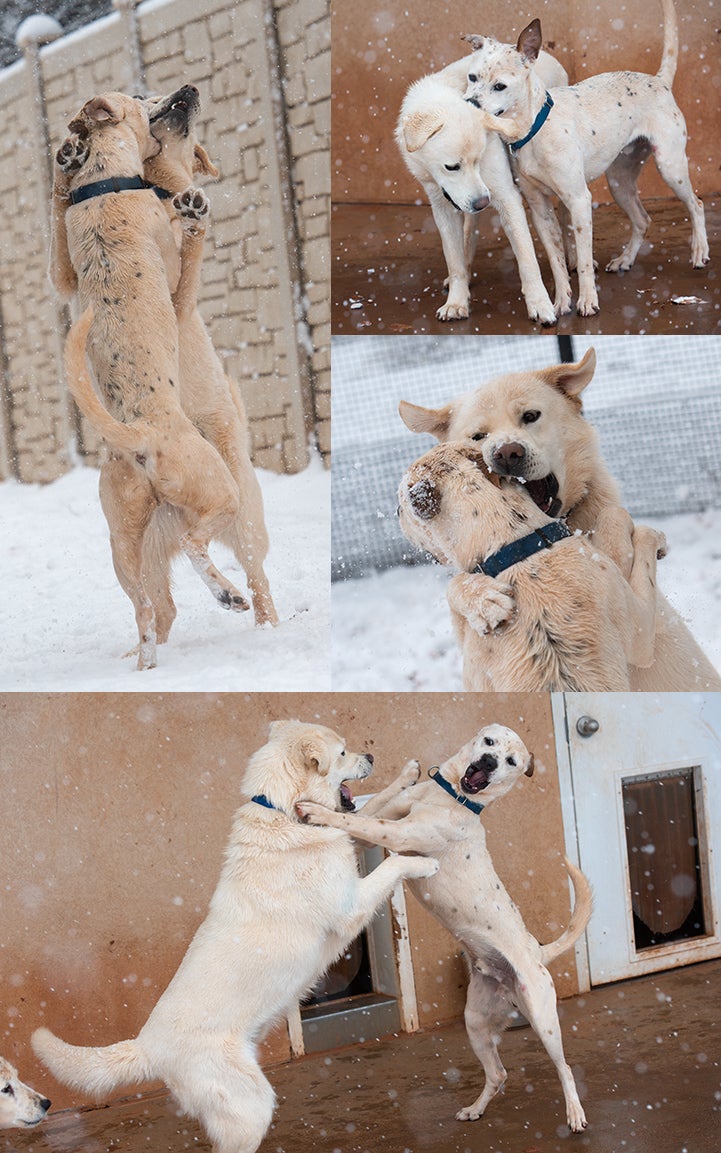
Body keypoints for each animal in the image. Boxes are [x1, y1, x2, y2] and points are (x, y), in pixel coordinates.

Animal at [32, 719, 438, 1153]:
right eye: (343, 752)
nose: (373, 756)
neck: (281, 812)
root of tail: (147, 1046)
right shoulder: (350, 907)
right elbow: (392, 864)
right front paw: (424, 862)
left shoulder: (350, 838)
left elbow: (371, 814)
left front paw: (407, 775)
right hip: (250, 1107)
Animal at [297, 724, 590, 1129]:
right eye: (489, 743)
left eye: (511, 761)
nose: (489, 762)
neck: (453, 796)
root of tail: (537, 950)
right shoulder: (382, 823)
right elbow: (372, 808)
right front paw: (407, 773)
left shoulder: (396, 834)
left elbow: (360, 820)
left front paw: (317, 811)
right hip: (476, 1022)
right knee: (498, 1074)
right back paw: (475, 1109)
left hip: (543, 1019)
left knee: (565, 1067)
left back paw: (575, 1113)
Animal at [461, 0, 710, 315]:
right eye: (472, 77)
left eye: (500, 86)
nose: (468, 104)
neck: (533, 130)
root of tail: (658, 80)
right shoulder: (539, 209)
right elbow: (557, 262)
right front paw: (560, 301)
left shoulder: (579, 200)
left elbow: (581, 261)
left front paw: (588, 301)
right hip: (619, 183)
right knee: (642, 220)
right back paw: (625, 260)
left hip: (671, 167)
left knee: (696, 204)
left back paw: (700, 251)